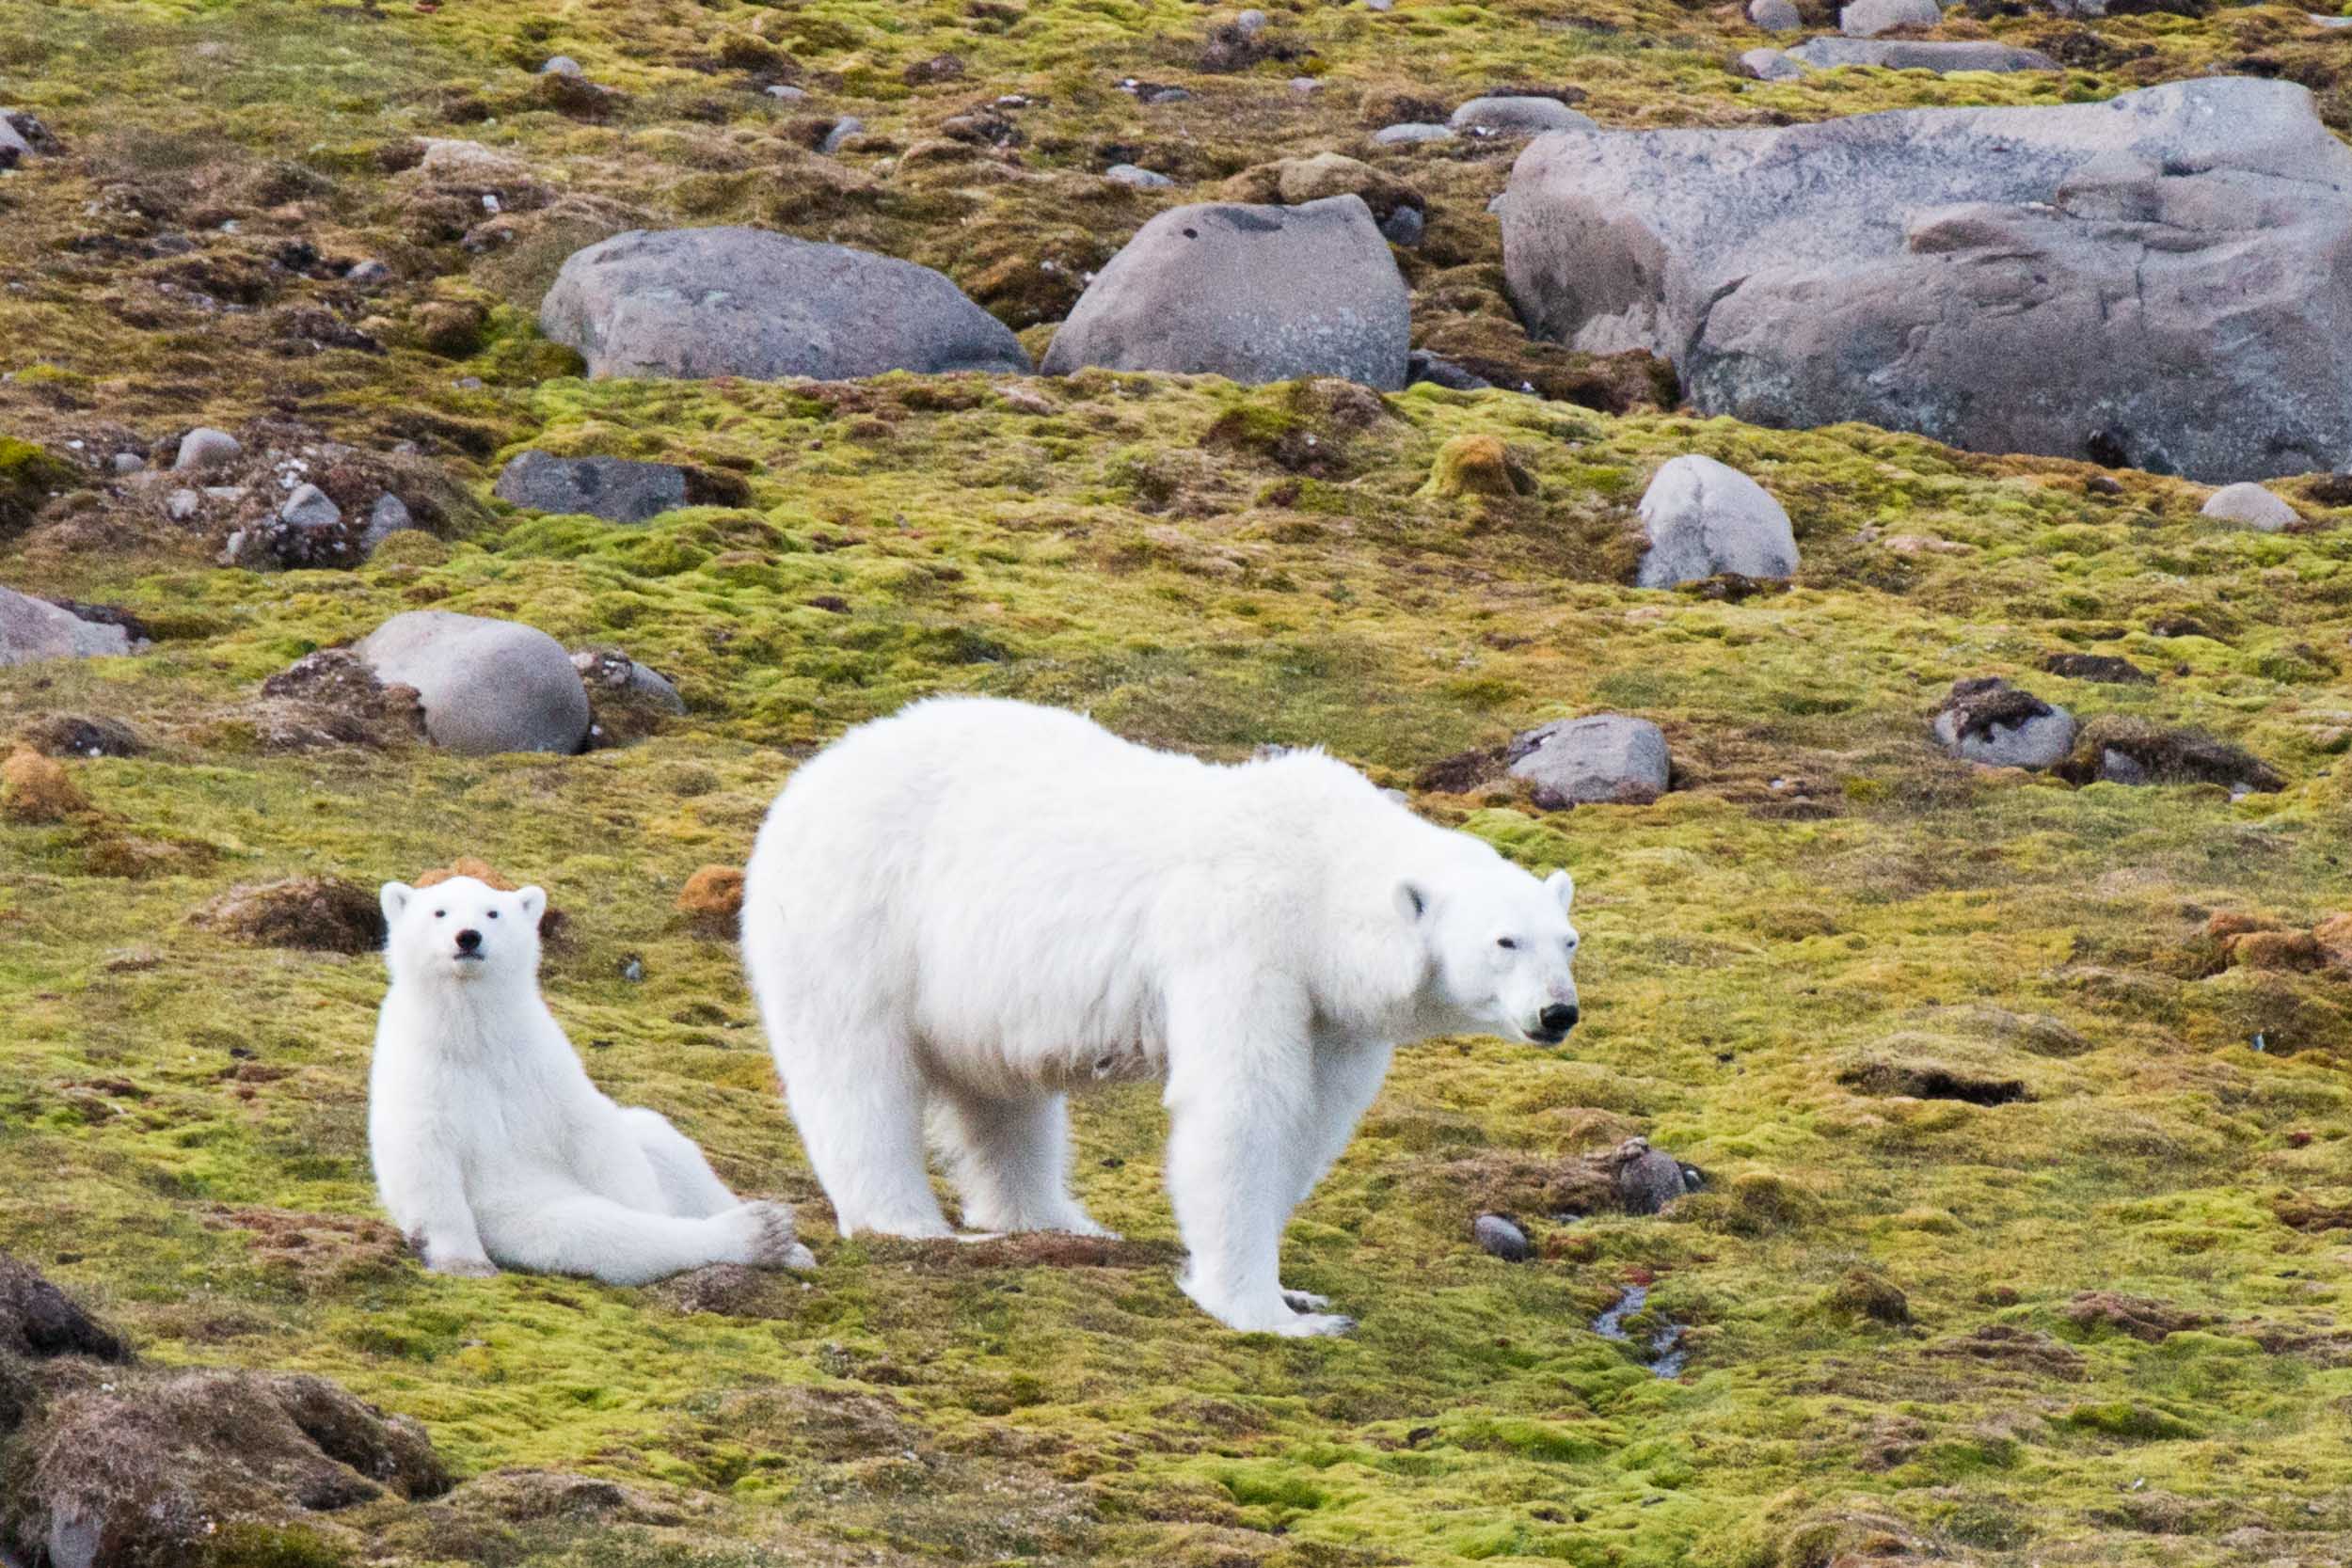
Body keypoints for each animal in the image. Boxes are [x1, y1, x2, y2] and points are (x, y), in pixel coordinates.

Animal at [370, 873, 815, 1285]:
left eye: (492, 912)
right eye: (439, 912)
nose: (468, 937)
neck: (474, 1037)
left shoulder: (541, 1064)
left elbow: (592, 1129)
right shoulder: (421, 1079)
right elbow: (424, 1165)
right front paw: (465, 1264)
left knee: (669, 1152)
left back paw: (788, 1244)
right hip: (525, 1211)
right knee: (602, 1233)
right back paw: (759, 1233)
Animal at [740, 697, 1580, 1335]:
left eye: (1568, 939)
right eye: (1504, 940)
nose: (1558, 1011)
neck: (1317, 871)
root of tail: (806, 782)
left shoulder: (1331, 1009)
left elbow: (1311, 1120)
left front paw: (1296, 1287)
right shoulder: (1244, 939)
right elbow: (1242, 1106)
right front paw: (1273, 1313)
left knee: (1004, 1098)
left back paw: (1059, 1220)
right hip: (859, 918)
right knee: (858, 1075)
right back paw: (906, 1221)